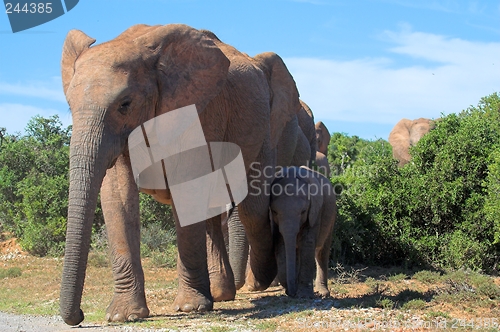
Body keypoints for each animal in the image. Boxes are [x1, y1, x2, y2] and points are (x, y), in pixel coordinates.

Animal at [59, 24, 302, 326]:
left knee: (252, 208)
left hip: (263, 131)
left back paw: (261, 281)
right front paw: (123, 315)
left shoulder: (200, 111)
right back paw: (221, 294)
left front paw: (190, 308)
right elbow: (118, 196)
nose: (79, 316)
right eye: (70, 106)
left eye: (125, 104)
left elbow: (187, 189)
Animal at [270, 166, 336, 298]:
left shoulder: (316, 212)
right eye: (274, 211)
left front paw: (304, 294)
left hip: (331, 217)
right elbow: (280, 244)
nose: (291, 292)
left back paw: (323, 292)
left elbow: (307, 243)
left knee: (321, 253)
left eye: (303, 211)